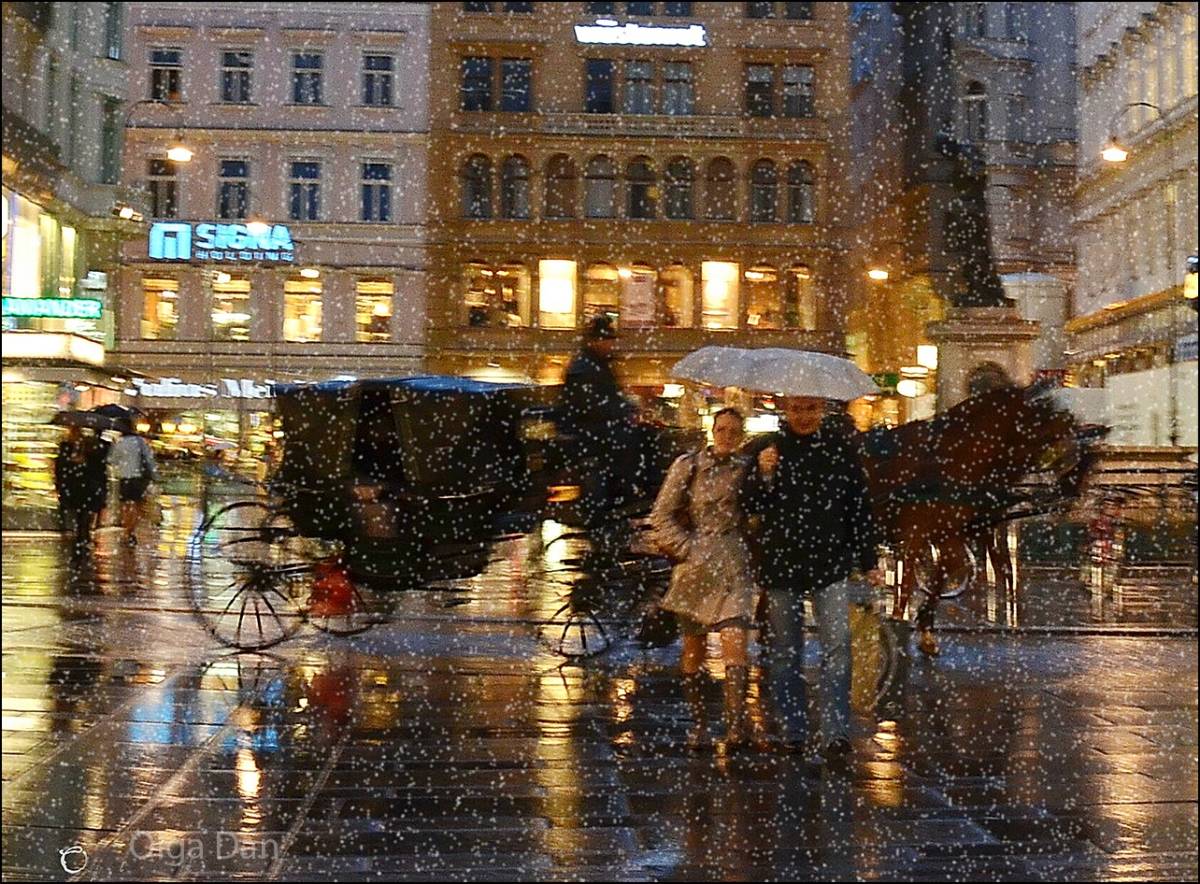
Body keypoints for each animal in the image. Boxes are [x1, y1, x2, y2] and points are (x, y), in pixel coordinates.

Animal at [854, 386, 1089, 657]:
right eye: (1050, 430)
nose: (1076, 482)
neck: (954, 458)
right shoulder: (921, 532)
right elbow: (915, 579)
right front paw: (904, 620)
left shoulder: (943, 533)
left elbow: (945, 569)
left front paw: (924, 626)